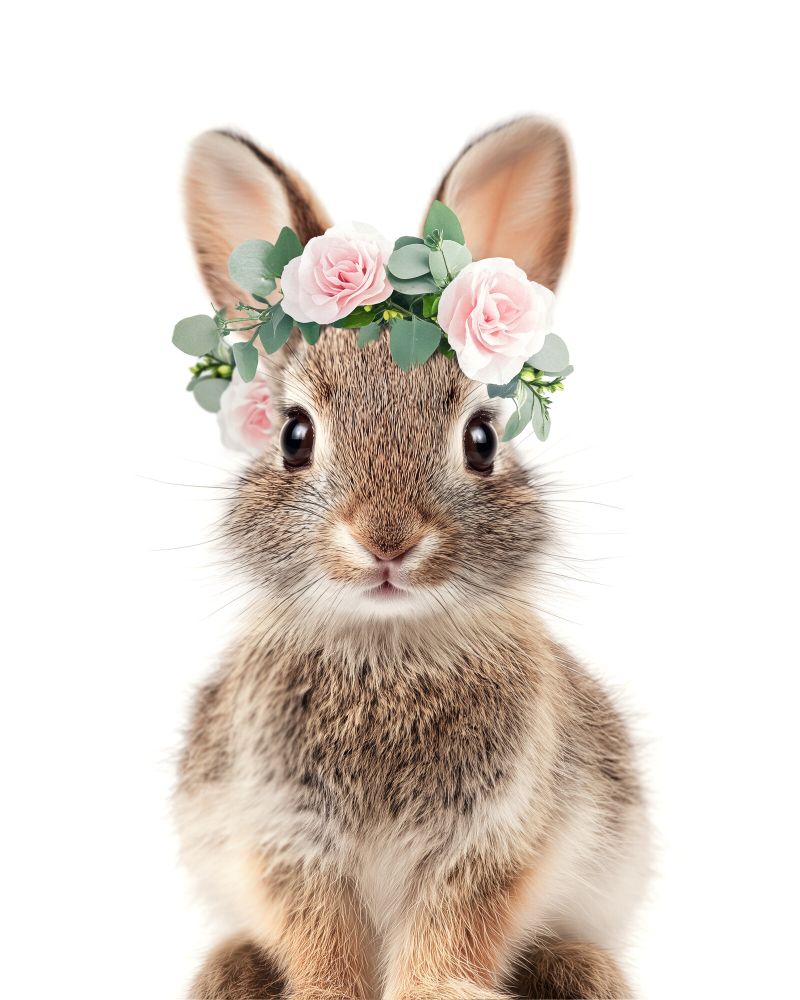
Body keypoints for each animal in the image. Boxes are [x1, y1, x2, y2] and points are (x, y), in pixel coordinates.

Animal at [174, 118, 651, 1000]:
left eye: (482, 439)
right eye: (294, 435)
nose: (387, 539)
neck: (388, 647)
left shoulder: (490, 840)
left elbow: (451, 929)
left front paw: (439, 992)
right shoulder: (288, 836)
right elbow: (319, 934)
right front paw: (326, 994)